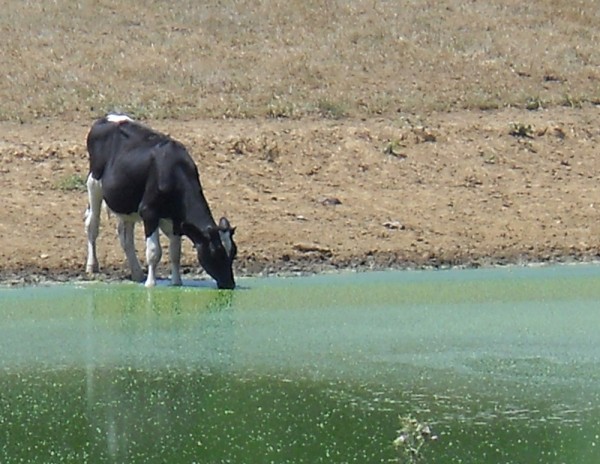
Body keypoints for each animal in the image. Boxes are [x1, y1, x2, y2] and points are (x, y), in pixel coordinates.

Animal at [84, 113, 237, 288]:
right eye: (215, 252)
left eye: (233, 252)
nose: (229, 284)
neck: (175, 170)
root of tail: (108, 117)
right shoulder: (149, 211)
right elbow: (154, 251)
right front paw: (151, 284)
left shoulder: (176, 219)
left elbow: (175, 251)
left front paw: (176, 282)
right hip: (94, 183)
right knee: (92, 225)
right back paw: (92, 266)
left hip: (126, 203)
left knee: (125, 236)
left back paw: (137, 273)